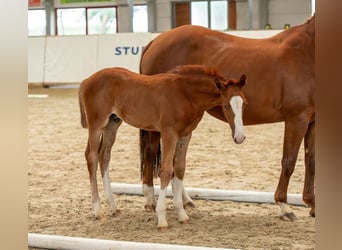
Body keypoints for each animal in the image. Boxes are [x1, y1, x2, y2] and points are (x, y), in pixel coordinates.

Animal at [79, 65, 247, 229]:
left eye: (244, 103)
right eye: (226, 106)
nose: (240, 137)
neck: (186, 94)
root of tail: (87, 81)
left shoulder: (185, 135)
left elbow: (179, 169)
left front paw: (181, 214)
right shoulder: (169, 132)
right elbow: (166, 171)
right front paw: (161, 219)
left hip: (112, 123)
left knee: (104, 155)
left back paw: (114, 207)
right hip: (96, 125)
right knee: (92, 157)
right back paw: (97, 210)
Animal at [140, 15, 316, 221]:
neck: (305, 53)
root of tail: (155, 41)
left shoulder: (312, 121)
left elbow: (311, 161)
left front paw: (312, 205)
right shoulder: (297, 119)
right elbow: (289, 161)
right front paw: (284, 206)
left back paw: (185, 200)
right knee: (151, 152)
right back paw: (151, 201)